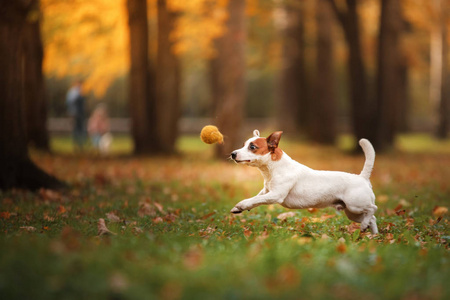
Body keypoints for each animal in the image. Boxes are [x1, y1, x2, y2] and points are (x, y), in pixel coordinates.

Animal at [230, 129, 378, 234]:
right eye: (243, 145)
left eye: (252, 147)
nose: (233, 153)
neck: (273, 169)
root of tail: (362, 177)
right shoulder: (266, 191)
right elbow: (256, 198)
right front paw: (240, 208)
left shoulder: (276, 195)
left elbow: (255, 200)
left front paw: (242, 204)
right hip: (353, 213)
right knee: (372, 218)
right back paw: (372, 234)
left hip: (355, 205)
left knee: (373, 209)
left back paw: (365, 226)